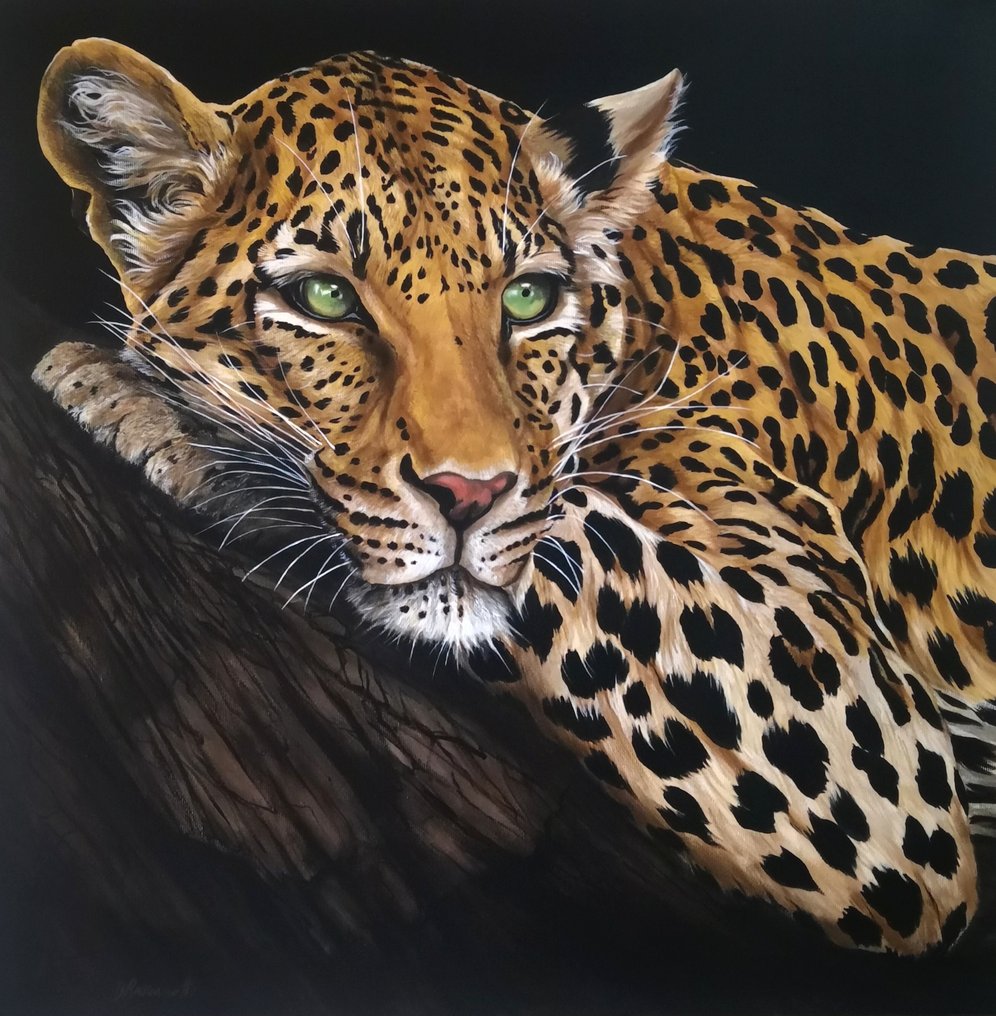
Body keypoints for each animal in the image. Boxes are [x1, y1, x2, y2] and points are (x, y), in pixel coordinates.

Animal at [33, 38, 996, 955]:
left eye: (529, 298)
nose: (469, 493)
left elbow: (566, 528)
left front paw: (156, 410)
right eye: (325, 296)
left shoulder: (862, 728)